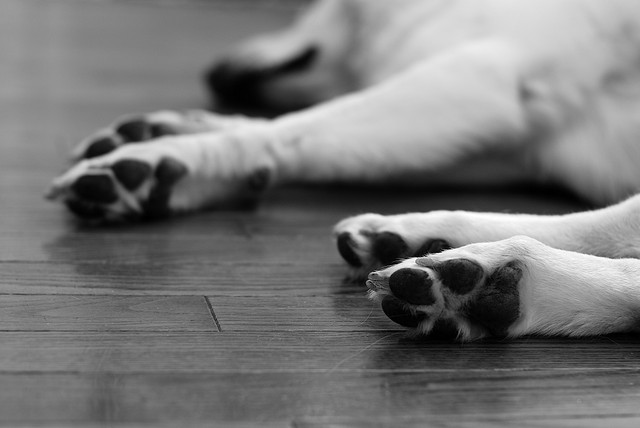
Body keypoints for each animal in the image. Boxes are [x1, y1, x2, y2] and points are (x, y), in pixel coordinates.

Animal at [47, 0, 640, 340]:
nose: (216, 74)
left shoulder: (482, 77)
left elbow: (288, 129)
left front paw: (168, 157)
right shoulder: (517, 143)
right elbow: (300, 132)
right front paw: (173, 134)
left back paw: (489, 278)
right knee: (605, 231)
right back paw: (412, 241)